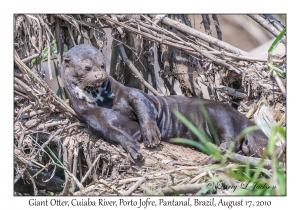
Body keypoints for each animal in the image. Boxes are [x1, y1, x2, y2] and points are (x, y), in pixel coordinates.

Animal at [62, 44, 268, 162]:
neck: (103, 101)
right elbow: (112, 132)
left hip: (219, 112)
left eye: (102, 65)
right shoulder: (89, 115)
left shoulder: (130, 93)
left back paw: (218, 152)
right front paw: (132, 147)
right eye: (87, 67)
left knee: (231, 137)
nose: (100, 76)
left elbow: (144, 106)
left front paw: (151, 134)